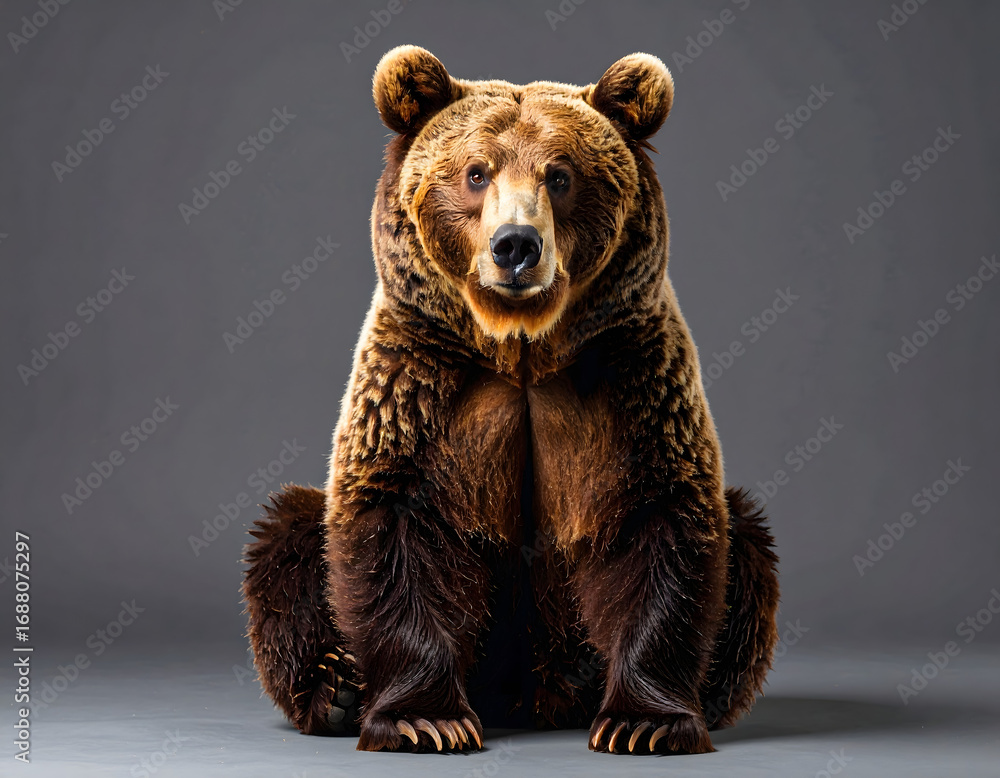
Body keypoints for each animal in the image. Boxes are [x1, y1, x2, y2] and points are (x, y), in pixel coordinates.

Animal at [242, 45, 780, 756]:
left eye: (561, 175)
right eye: (476, 172)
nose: (516, 245)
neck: (521, 348)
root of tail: (534, 699)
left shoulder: (631, 377)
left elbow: (661, 520)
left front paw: (645, 722)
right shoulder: (423, 379)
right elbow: (395, 524)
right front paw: (425, 719)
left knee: (747, 542)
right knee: (291, 534)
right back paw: (336, 689)